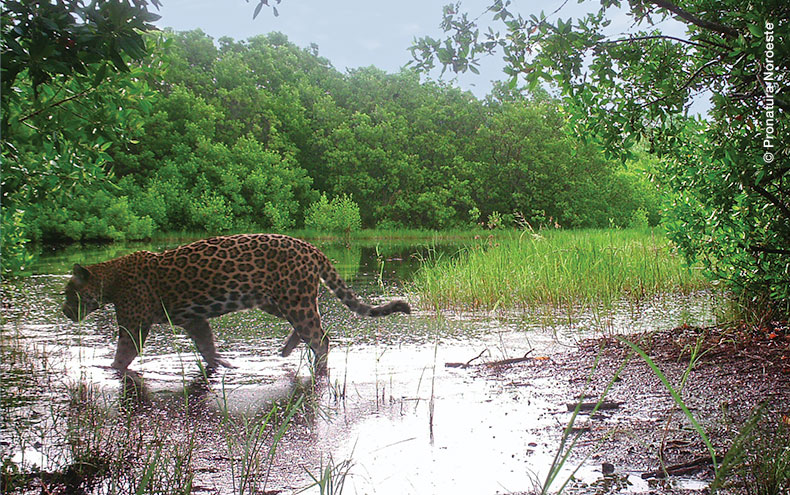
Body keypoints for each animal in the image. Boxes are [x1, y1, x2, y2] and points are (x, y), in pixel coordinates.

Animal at [61, 233, 411, 374]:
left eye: (69, 293)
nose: (64, 312)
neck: (110, 277)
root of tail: (311, 247)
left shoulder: (133, 324)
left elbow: (124, 353)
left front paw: (107, 369)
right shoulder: (194, 319)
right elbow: (206, 344)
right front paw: (223, 364)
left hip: (293, 299)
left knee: (320, 337)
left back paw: (318, 366)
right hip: (279, 301)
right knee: (312, 327)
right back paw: (285, 351)